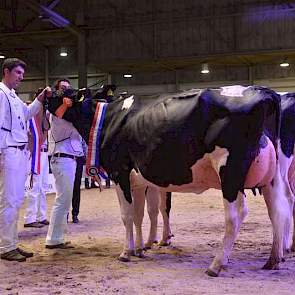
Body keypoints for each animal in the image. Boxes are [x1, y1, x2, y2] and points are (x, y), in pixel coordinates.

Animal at [47, 85, 290, 278]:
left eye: (59, 92)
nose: (45, 93)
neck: (108, 118)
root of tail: (265, 91)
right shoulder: (138, 181)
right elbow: (139, 215)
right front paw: (140, 249)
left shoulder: (120, 173)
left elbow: (127, 215)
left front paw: (126, 252)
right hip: (272, 177)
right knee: (277, 210)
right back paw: (273, 260)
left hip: (230, 173)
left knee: (236, 216)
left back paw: (216, 264)